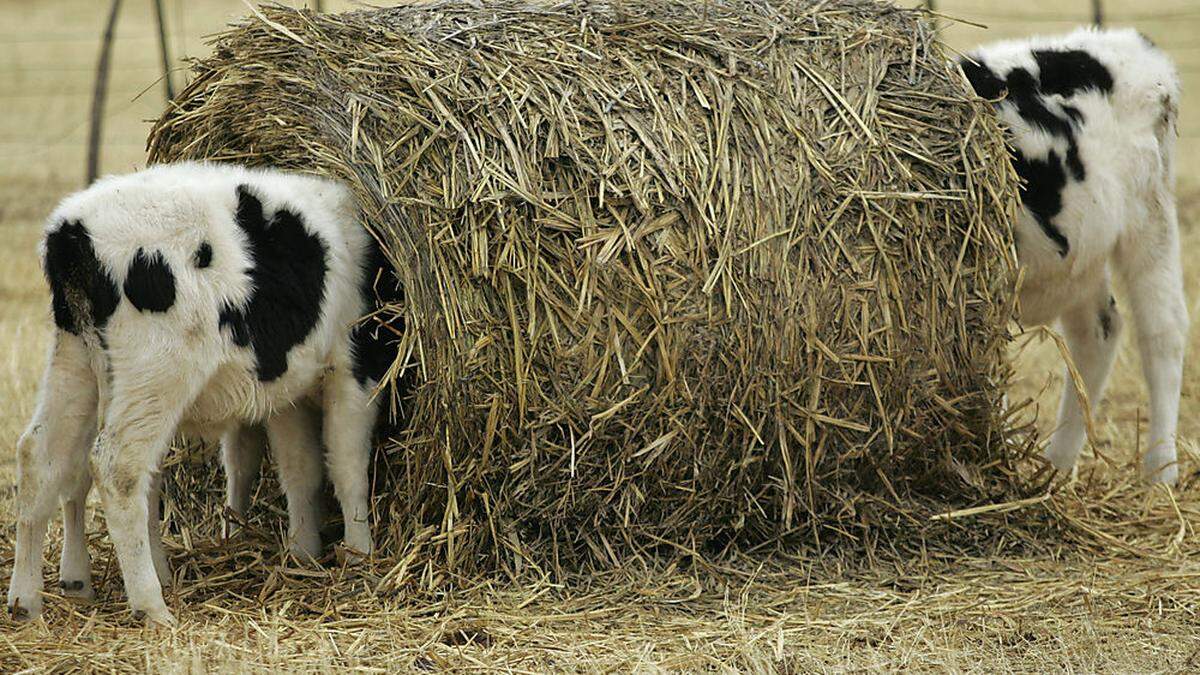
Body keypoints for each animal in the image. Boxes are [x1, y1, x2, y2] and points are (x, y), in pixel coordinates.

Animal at [5, 159, 403, 624]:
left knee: (39, 457)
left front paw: (304, 553)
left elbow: (300, 469)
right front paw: (361, 555)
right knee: (117, 467)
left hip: (75, 362)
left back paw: (27, 602)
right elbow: (348, 466)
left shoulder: (285, 390)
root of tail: (72, 228)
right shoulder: (356, 371)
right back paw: (151, 605)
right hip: (155, 375)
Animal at [960, 28, 1185, 480]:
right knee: (1099, 333)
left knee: (1163, 333)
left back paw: (1161, 469)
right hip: (1081, 252)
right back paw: (1058, 466)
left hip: (1150, 220)